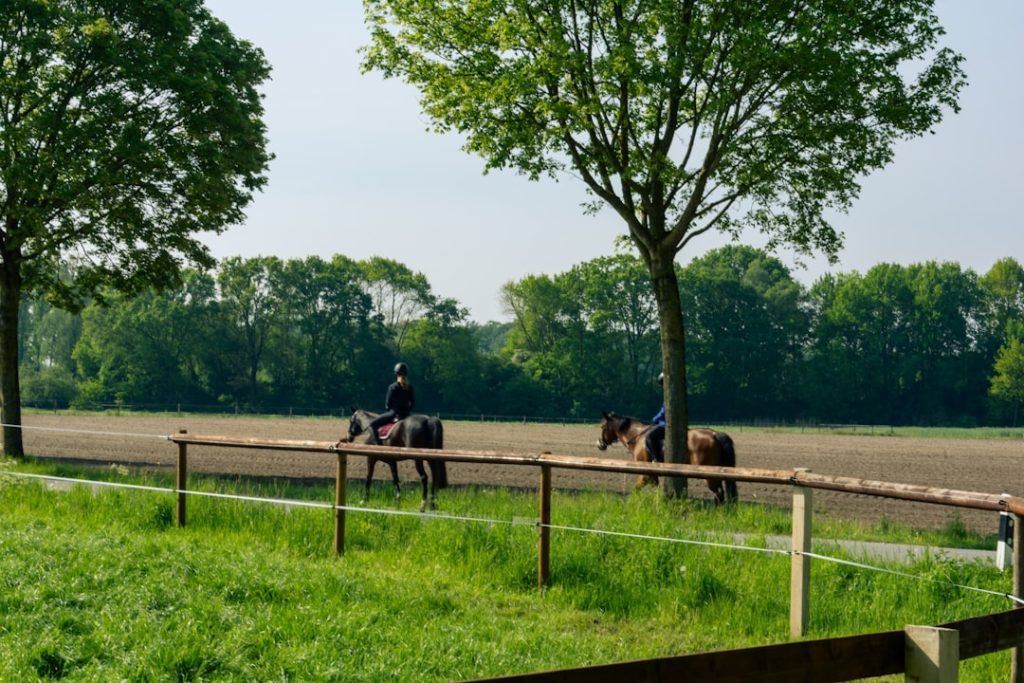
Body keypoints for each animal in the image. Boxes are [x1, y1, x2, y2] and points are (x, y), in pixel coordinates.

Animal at [596, 410, 738, 504]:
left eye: (602, 426)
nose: (599, 444)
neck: (638, 437)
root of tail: (714, 434)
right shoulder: (652, 474)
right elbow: (656, 488)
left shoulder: (646, 473)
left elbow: (637, 489)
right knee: (720, 492)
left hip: (709, 475)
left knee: (718, 493)